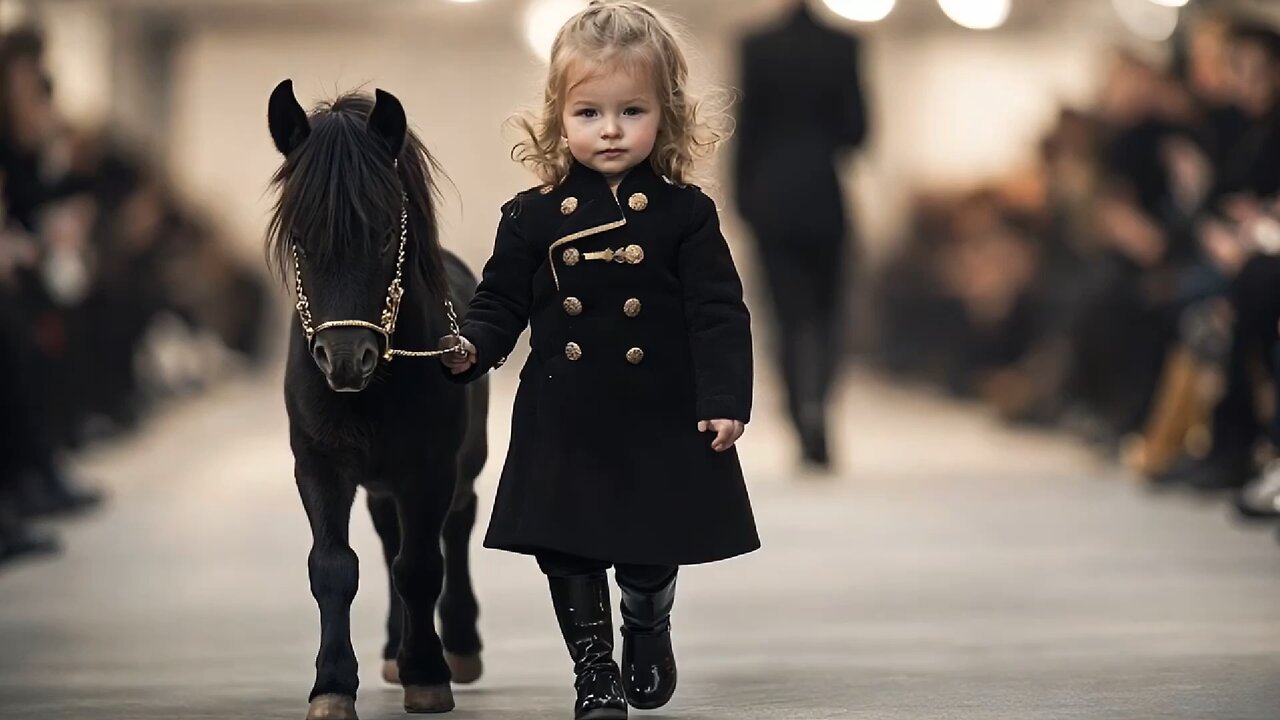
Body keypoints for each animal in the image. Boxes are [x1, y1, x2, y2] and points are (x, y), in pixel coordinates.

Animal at [267, 81, 486, 712]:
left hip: (462, 465)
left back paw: (459, 646)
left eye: (387, 233)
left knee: (456, 524)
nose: (345, 359)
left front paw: (429, 675)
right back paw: (393, 650)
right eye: (299, 237)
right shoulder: (318, 463)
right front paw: (333, 686)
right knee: (389, 539)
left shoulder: (429, 468)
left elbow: (421, 567)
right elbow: (335, 568)